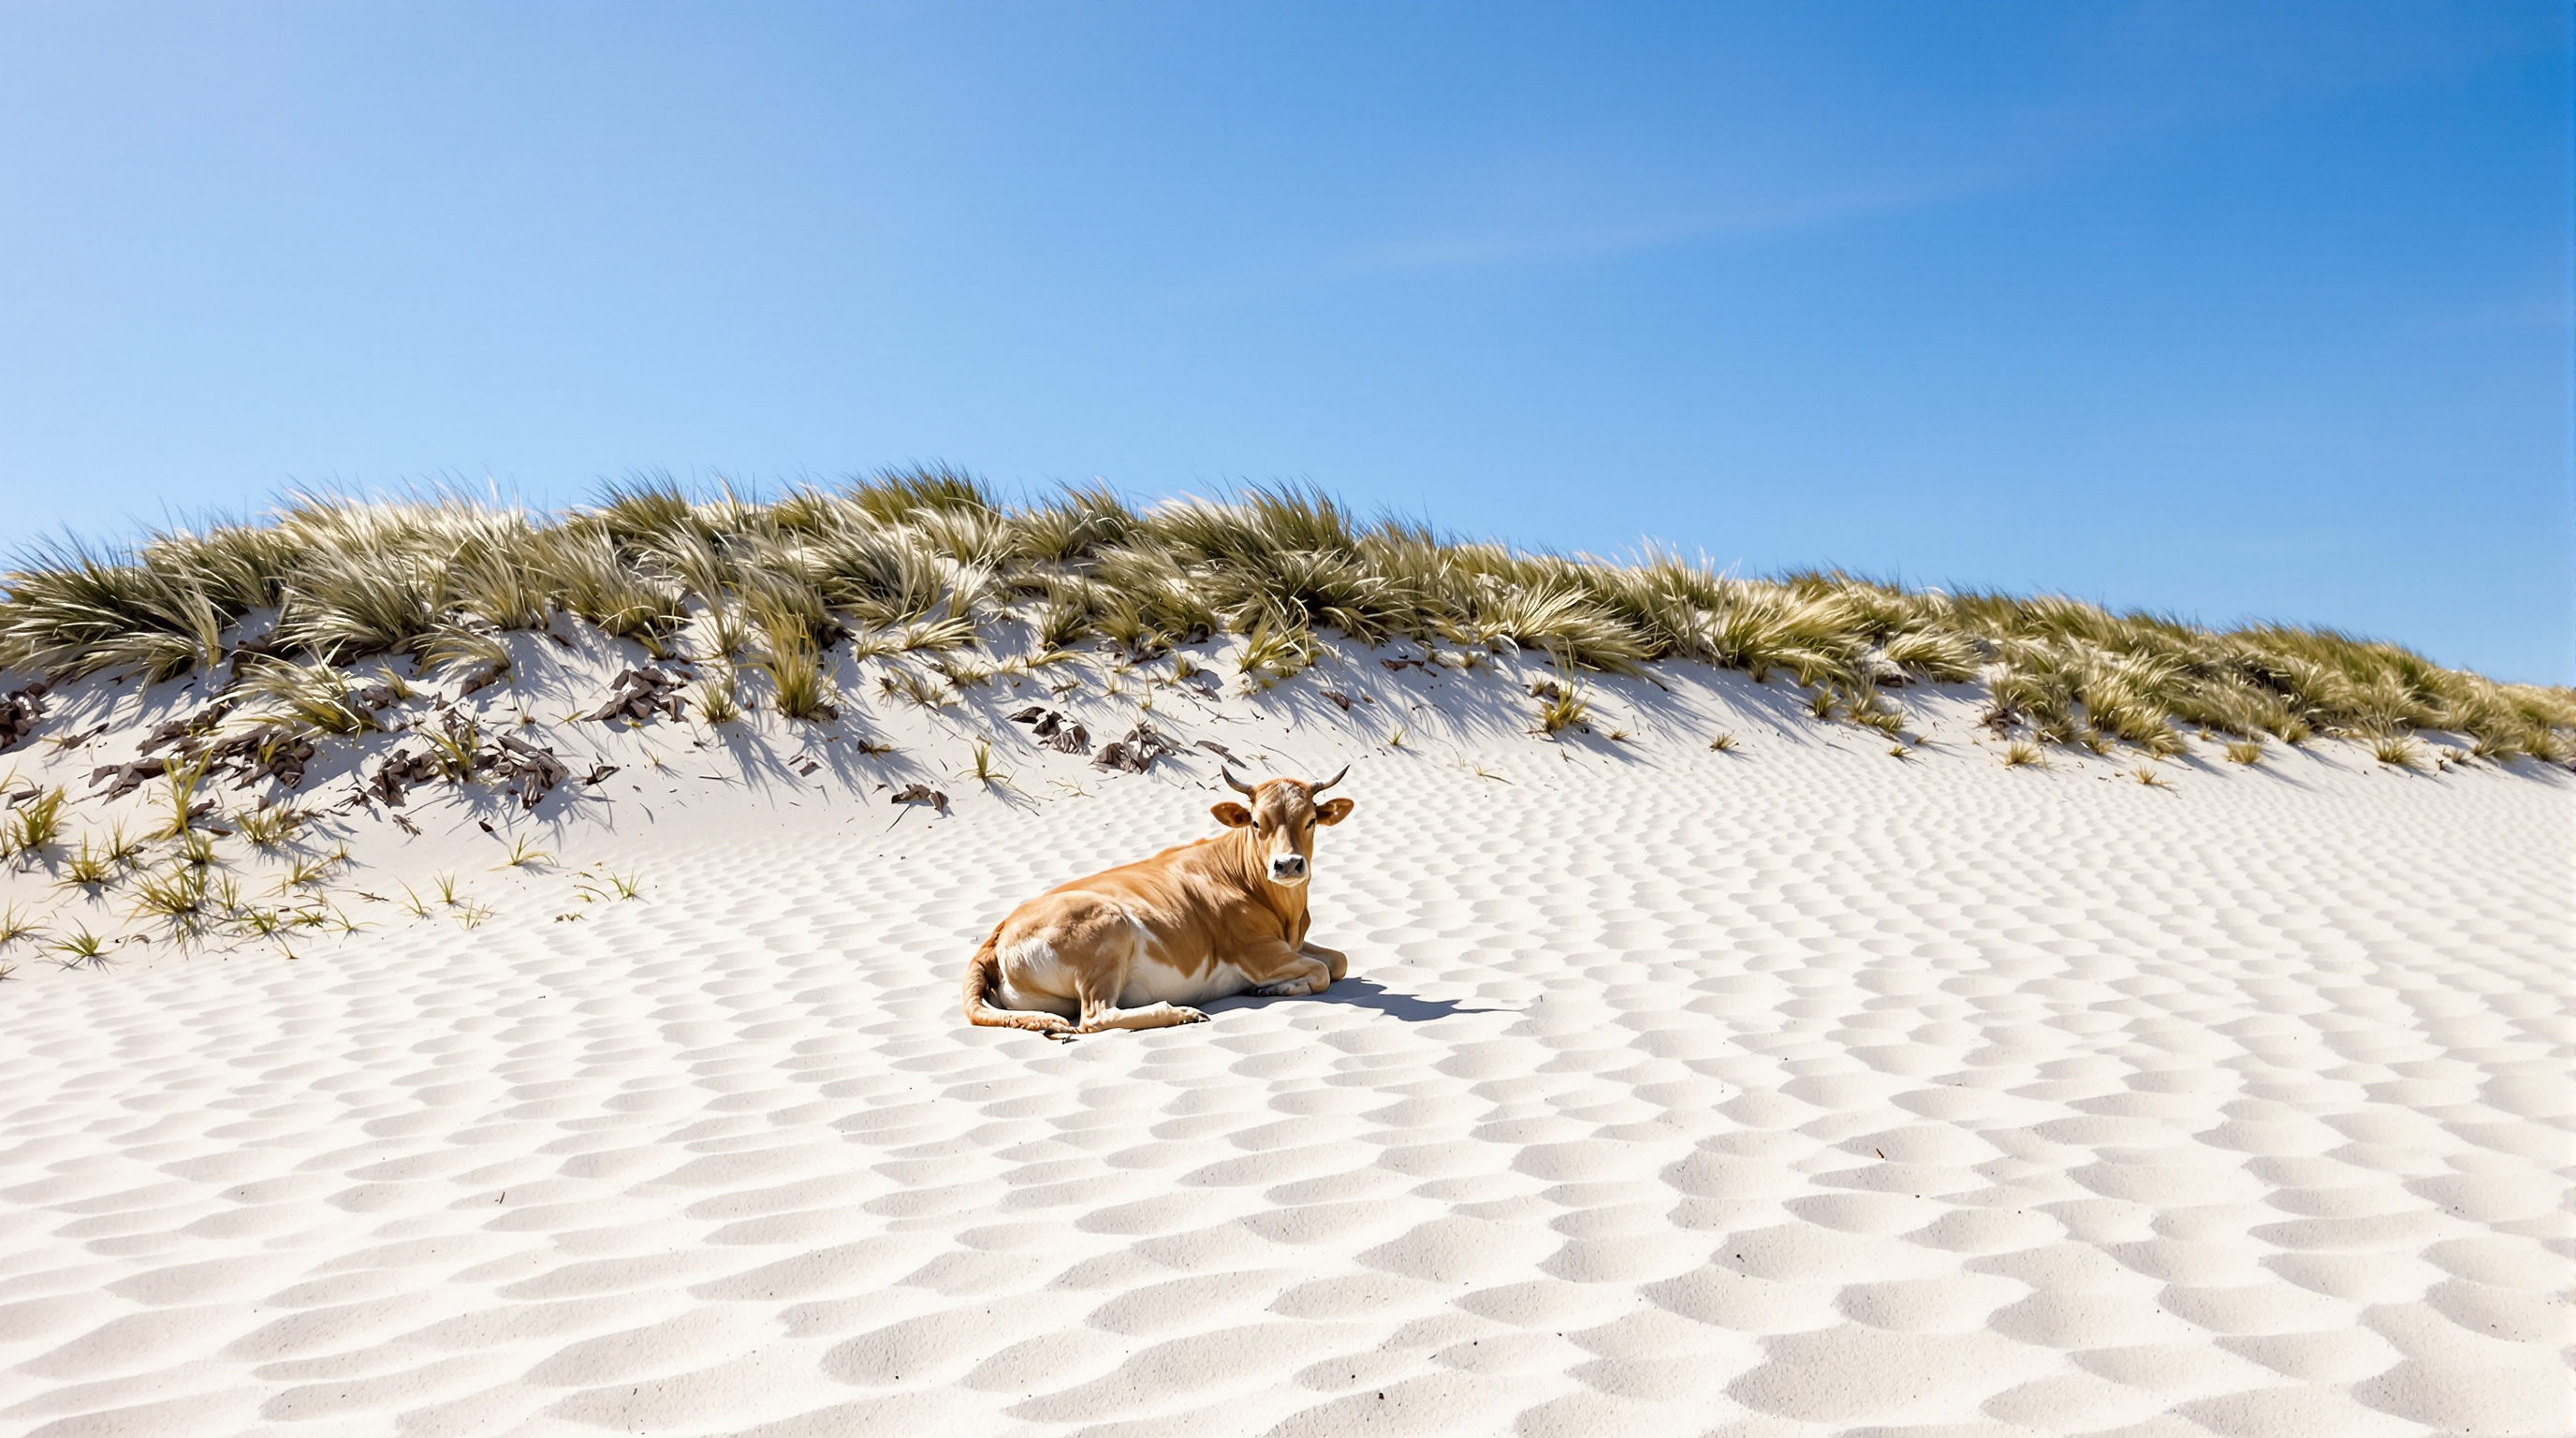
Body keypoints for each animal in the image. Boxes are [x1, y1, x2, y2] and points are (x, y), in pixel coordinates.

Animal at [962, 765, 1357, 1037]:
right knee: (1096, 1016)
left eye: (1311, 820)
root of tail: (998, 934)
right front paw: (1276, 986)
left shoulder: (1294, 943)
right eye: (1257, 823)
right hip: (1107, 929)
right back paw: (1181, 1013)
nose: (1287, 864)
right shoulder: (1258, 952)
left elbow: (1339, 960)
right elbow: (1322, 972)